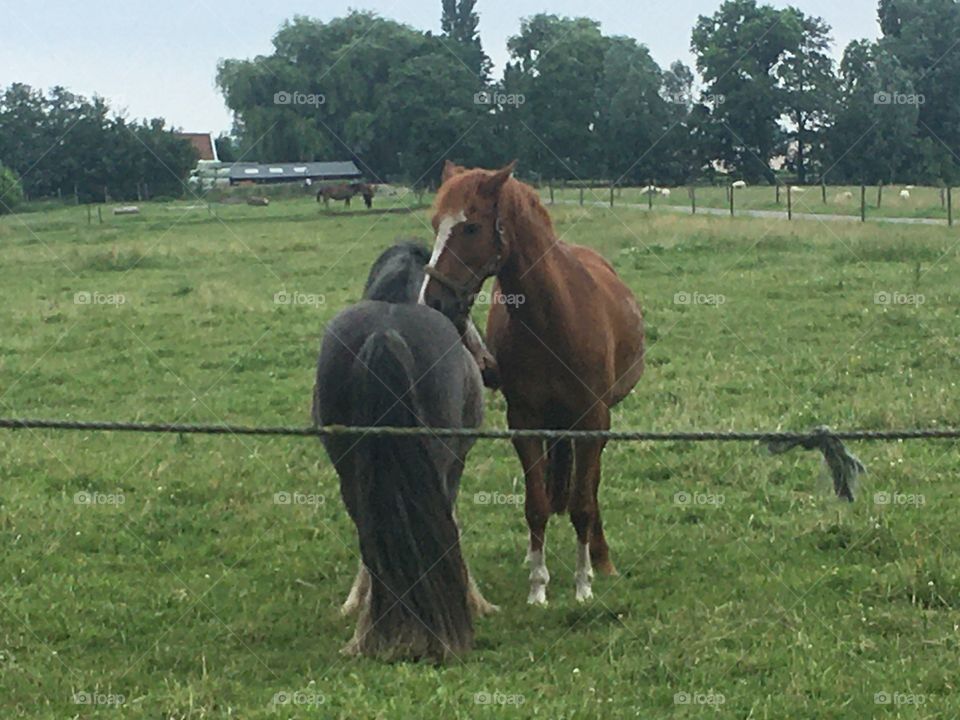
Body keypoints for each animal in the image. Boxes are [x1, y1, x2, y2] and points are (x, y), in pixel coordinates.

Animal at [420, 161, 645, 606]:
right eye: (436, 223)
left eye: (471, 227)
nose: (433, 301)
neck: (554, 318)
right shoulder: (524, 422)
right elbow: (536, 504)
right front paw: (538, 586)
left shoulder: (591, 421)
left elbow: (582, 503)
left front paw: (583, 583)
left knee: (589, 489)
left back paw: (601, 558)